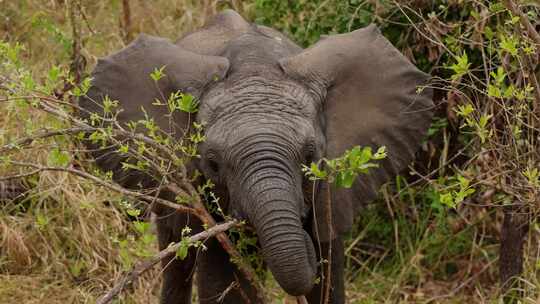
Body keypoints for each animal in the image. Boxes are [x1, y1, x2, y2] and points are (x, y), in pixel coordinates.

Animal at [79, 9, 434, 304]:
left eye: (311, 155)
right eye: (212, 164)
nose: (302, 232)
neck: (255, 65)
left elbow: (329, 277)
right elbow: (224, 280)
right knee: (176, 262)